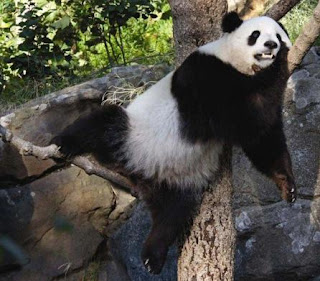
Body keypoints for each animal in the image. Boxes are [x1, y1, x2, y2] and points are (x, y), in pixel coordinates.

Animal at [50, 12, 298, 274]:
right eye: (256, 34)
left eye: (278, 35)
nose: (271, 45)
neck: (237, 64)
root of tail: (139, 173)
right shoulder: (206, 76)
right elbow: (247, 120)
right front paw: (279, 62)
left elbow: (262, 138)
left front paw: (288, 186)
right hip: (133, 134)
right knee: (103, 122)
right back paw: (62, 144)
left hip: (175, 181)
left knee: (172, 213)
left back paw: (153, 257)